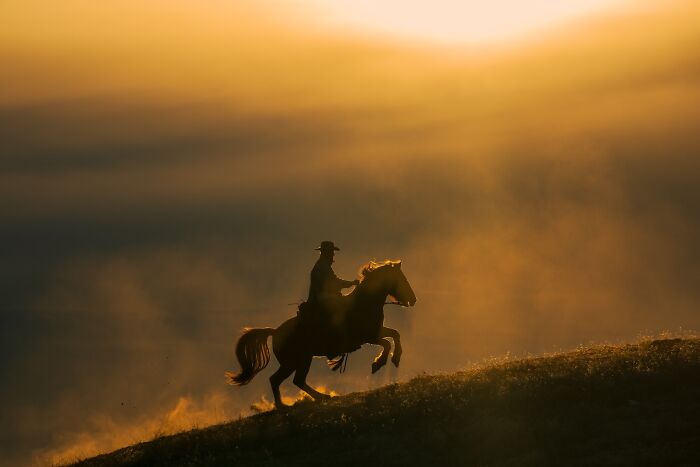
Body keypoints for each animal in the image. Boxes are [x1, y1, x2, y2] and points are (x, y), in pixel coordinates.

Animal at [226, 260, 416, 408]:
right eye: (402, 279)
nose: (413, 300)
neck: (363, 303)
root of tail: (275, 332)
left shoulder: (376, 332)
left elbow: (395, 335)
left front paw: (396, 358)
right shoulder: (369, 337)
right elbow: (387, 343)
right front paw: (378, 363)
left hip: (301, 360)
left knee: (296, 380)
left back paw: (320, 397)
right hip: (295, 361)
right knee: (278, 380)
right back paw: (284, 405)